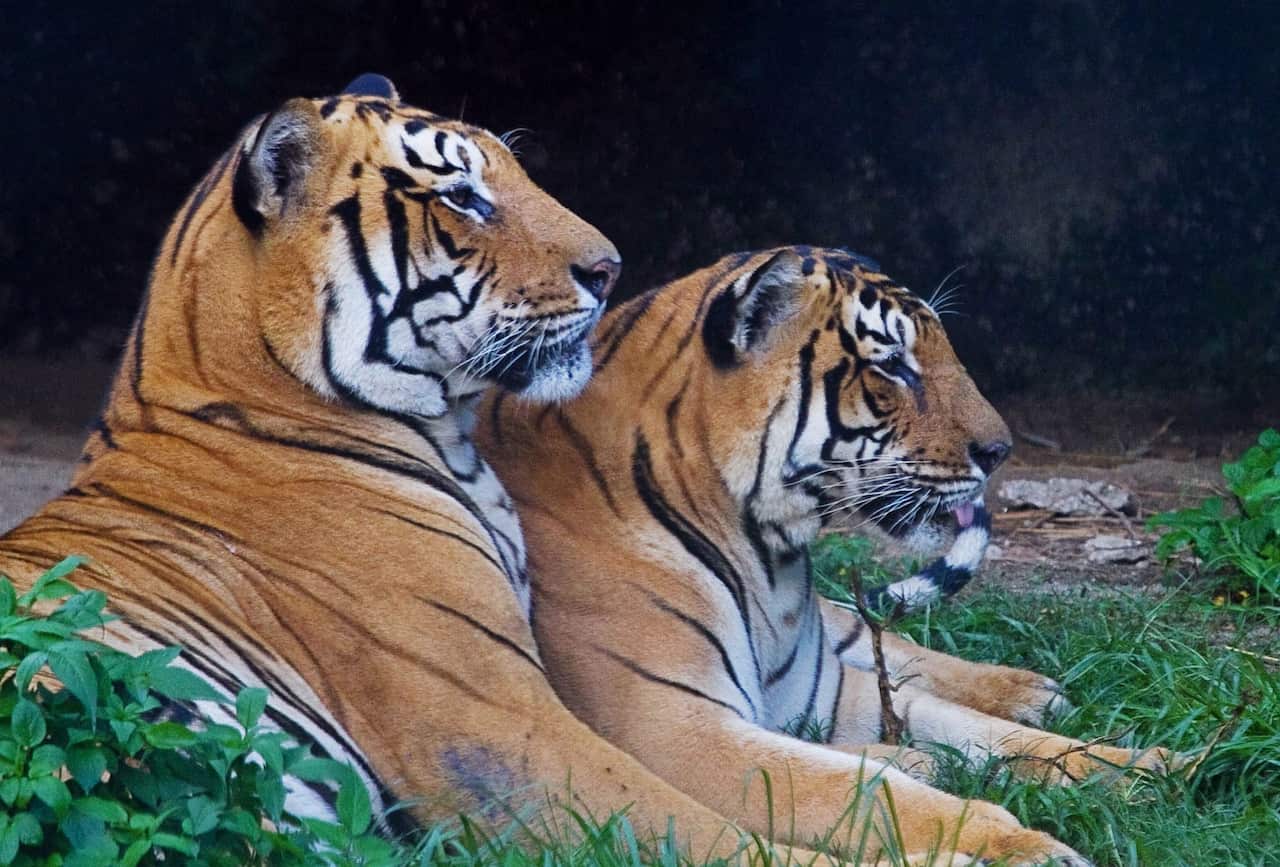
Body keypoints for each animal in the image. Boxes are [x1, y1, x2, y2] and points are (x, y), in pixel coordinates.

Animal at [479, 247, 1181, 865]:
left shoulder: (824, 695)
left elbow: (992, 736)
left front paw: (1159, 767)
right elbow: (871, 789)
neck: (767, 558)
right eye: (893, 364)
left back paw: (1030, 691)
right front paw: (1027, 846)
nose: (1000, 451)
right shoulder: (673, 727)